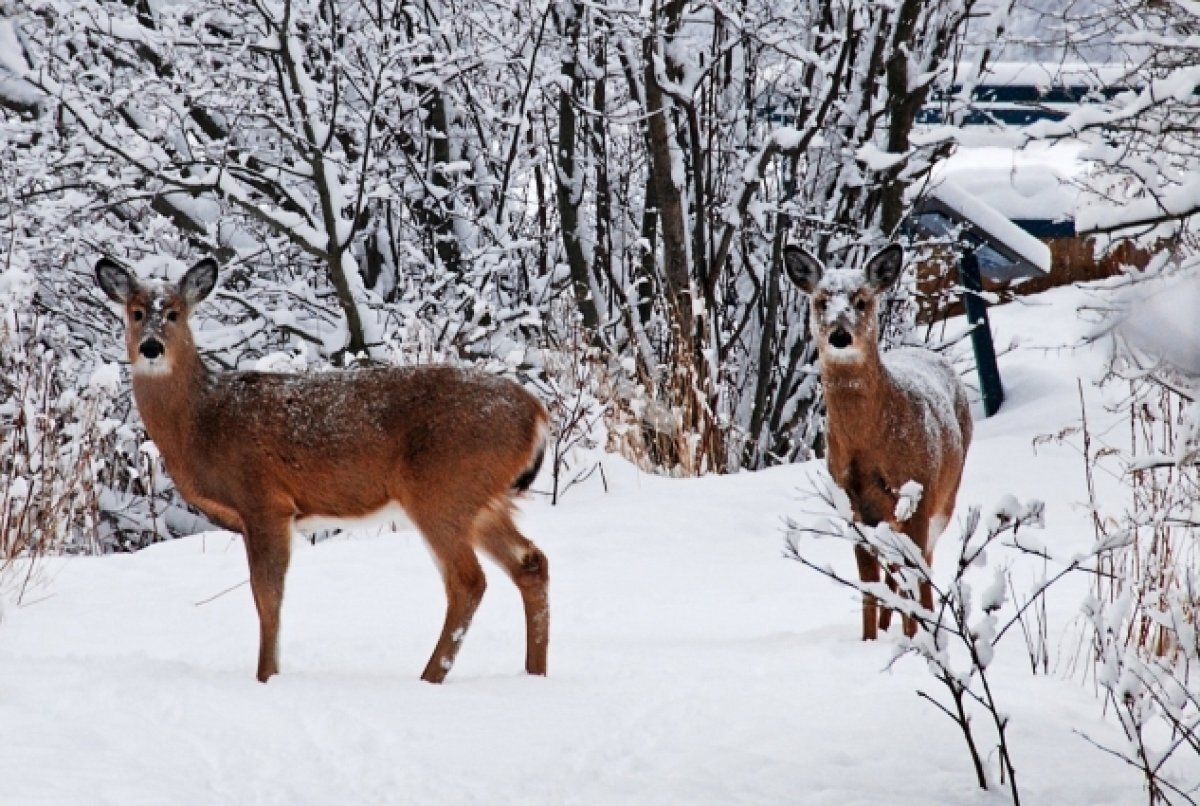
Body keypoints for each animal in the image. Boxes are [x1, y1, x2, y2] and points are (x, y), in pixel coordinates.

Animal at [94, 255, 552, 681]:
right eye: (136, 312)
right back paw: (534, 672)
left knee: (468, 581)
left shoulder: (264, 500)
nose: (151, 347)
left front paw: (266, 677)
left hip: (442, 490)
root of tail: (537, 414)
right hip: (481, 499)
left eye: (174, 312)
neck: (202, 421)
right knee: (531, 563)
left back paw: (429, 678)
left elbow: (267, 597)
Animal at [782, 242, 969, 638]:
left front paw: (916, 641)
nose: (839, 336)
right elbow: (869, 584)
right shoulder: (851, 502)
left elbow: (914, 575)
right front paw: (868, 640)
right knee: (893, 570)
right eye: (821, 300)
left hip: (945, 495)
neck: (870, 444)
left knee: (921, 567)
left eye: (861, 300)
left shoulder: (919, 490)